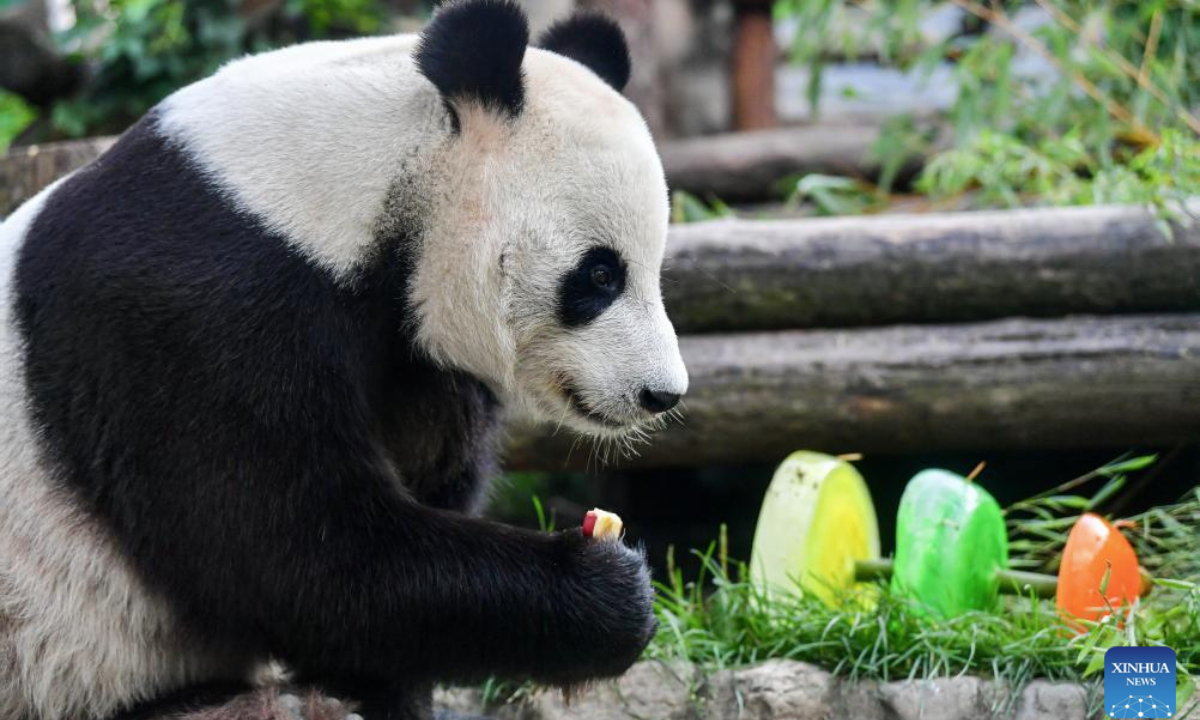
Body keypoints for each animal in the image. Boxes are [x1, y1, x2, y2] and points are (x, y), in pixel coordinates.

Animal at [0, 1, 689, 718]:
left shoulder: (414, 359)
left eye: (652, 269)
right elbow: (297, 550)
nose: (662, 393)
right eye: (601, 274)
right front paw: (608, 592)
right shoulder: (195, 309)